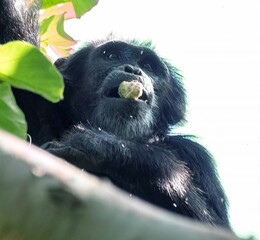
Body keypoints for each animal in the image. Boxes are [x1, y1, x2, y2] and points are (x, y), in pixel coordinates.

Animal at [1, 0, 230, 229]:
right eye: (111, 56)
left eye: (148, 66)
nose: (134, 70)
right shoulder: (34, 101)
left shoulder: (197, 157)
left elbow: (212, 226)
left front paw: (99, 146)